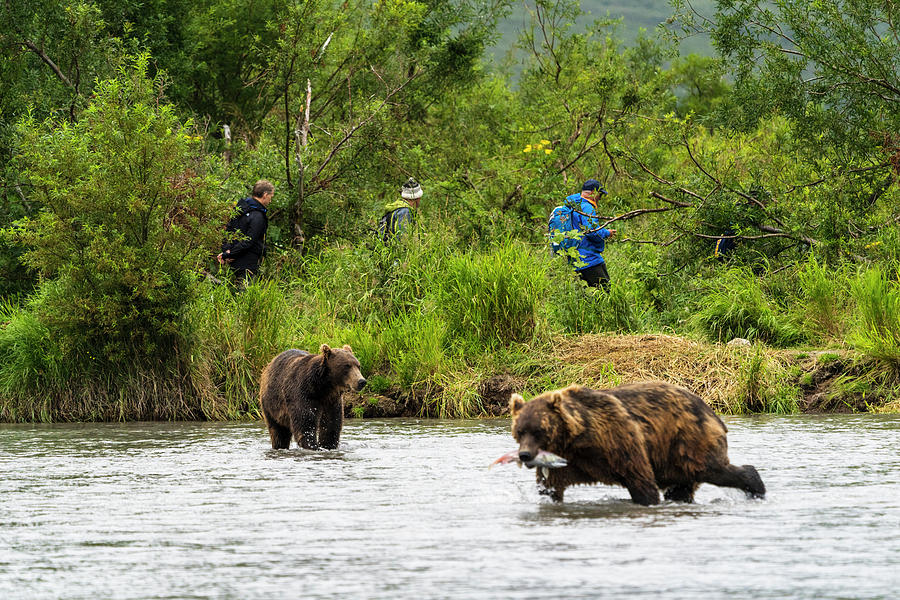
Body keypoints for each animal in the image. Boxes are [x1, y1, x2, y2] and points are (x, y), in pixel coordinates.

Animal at [510, 382, 764, 504]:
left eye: (539, 430)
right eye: (520, 431)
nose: (525, 455)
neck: (578, 439)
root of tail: (713, 412)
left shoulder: (618, 441)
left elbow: (640, 480)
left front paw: (647, 500)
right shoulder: (568, 463)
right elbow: (551, 488)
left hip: (687, 442)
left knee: (711, 468)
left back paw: (756, 487)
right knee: (681, 488)